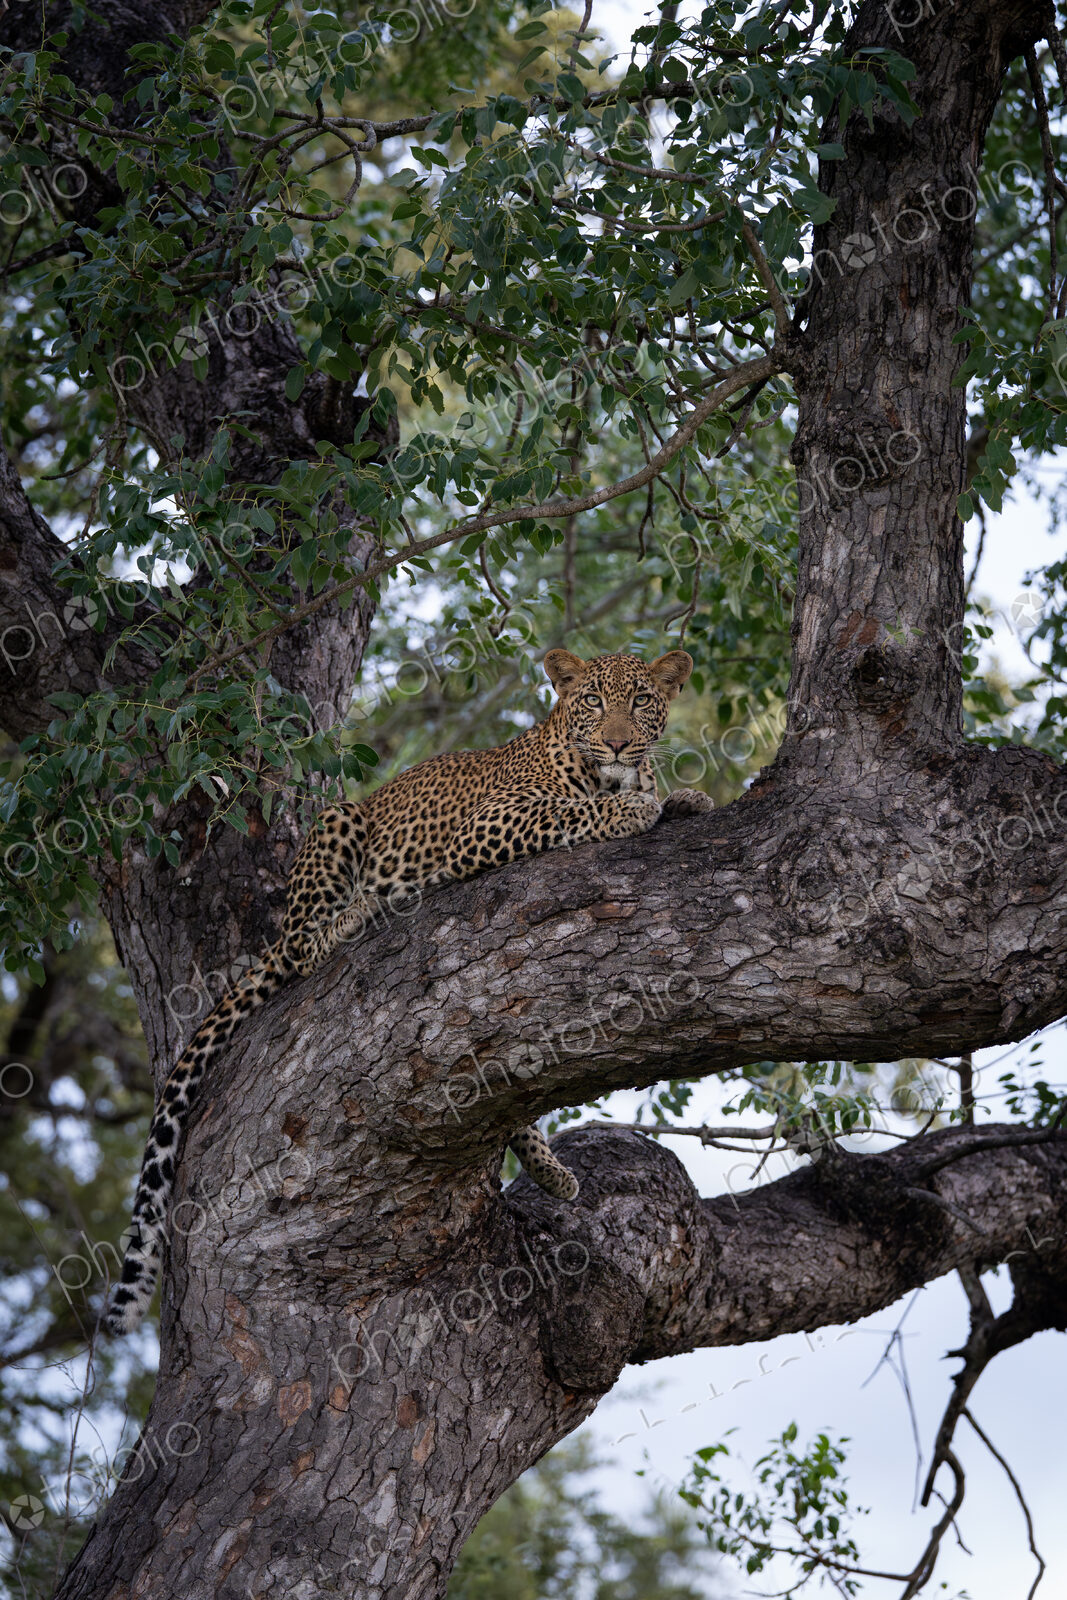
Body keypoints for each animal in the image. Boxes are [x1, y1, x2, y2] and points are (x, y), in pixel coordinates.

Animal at [104, 646, 712, 1335]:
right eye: (592, 701)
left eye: (641, 701)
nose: (616, 743)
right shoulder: (488, 825)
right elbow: (572, 812)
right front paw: (634, 810)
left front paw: (687, 796)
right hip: (338, 823)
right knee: (303, 945)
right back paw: (361, 909)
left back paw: (551, 1171)